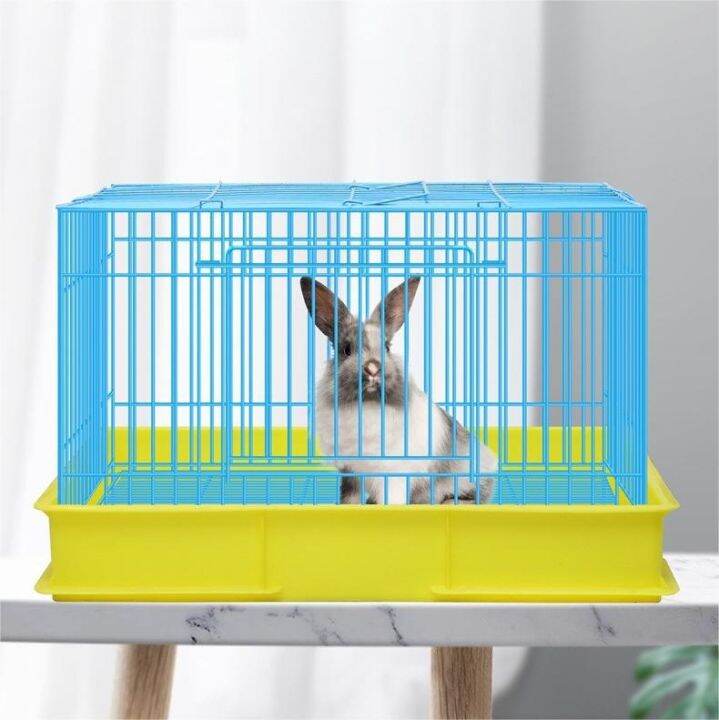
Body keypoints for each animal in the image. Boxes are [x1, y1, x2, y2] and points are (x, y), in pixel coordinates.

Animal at [300, 275, 496, 505]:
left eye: (387, 347)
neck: (367, 403)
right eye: (346, 350)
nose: (372, 368)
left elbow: (391, 498)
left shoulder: (393, 474)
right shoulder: (351, 472)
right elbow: (349, 496)